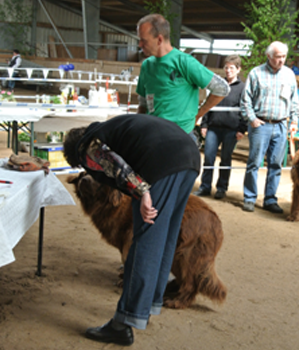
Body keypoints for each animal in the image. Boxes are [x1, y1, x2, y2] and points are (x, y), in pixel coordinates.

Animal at [68, 173, 227, 308]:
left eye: (98, 178)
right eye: (83, 174)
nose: (84, 180)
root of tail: (217, 223)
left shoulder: (131, 239)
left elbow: (130, 260)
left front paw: (125, 281)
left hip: (186, 255)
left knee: (190, 283)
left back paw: (177, 301)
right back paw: (171, 287)